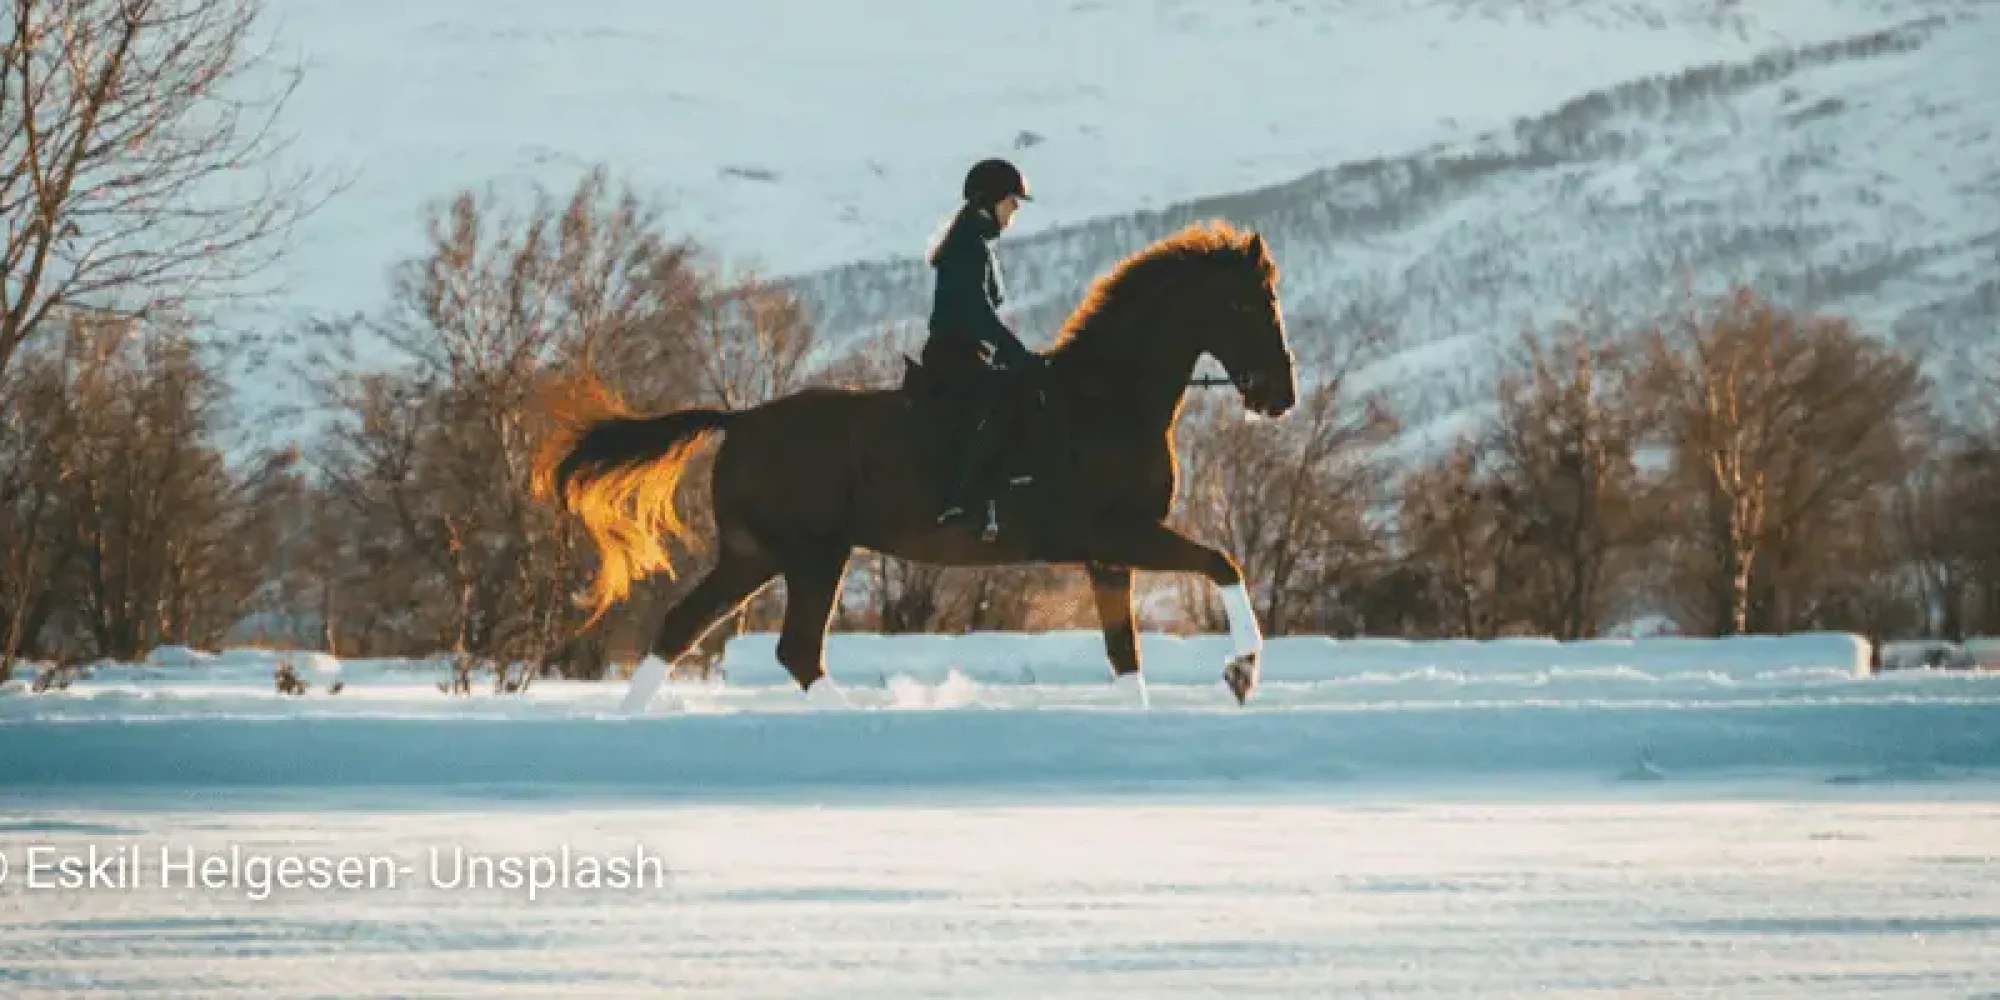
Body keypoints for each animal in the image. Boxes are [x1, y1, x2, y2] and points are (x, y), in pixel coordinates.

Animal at [532, 220, 1296, 712]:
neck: (1104, 402)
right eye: (1248, 302)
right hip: (812, 554)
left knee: (688, 628)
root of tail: (740, 420)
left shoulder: (1109, 556)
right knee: (792, 650)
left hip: (758, 554)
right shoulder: (1113, 534)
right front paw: (1242, 672)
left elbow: (1125, 654)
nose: (1279, 397)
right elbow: (1224, 564)